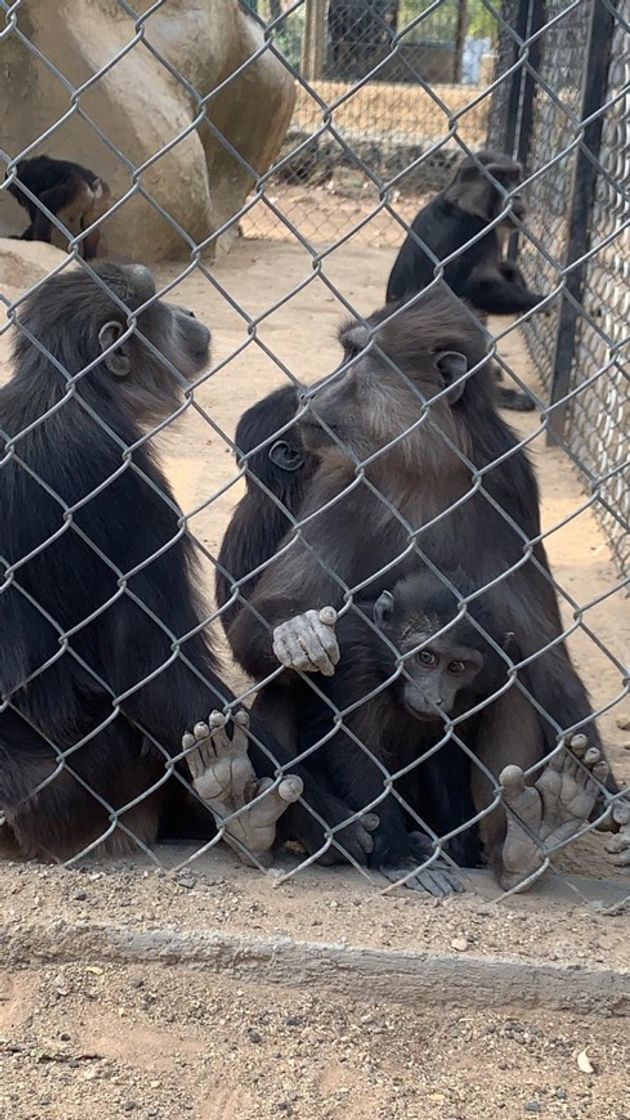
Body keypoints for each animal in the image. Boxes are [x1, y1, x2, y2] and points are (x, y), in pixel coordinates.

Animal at [0, 262, 372, 864]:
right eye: (157, 301)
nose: (188, 310)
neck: (65, 390)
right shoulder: (128, 481)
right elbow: (155, 670)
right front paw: (329, 820)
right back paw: (242, 811)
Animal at [223, 288, 618, 891]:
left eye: (356, 357)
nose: (313, 391)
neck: (424, 459)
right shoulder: (346, 479)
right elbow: (268, 621)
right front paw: (299, 632)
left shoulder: (506, 486)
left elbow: (543, 658)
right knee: (291, 687)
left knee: (514, 680)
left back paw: (525, 842)